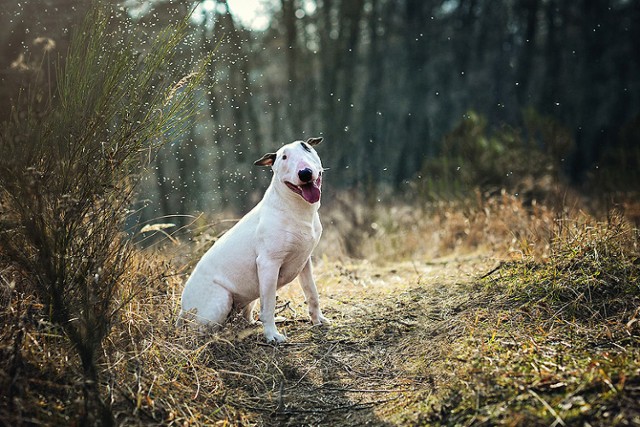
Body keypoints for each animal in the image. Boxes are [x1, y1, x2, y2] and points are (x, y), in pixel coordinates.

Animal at [180, 138, 330, 344]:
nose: (305, 173)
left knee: (246, 317)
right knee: (199, 332)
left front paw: (318, 320)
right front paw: (272, 335)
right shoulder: (268, 265)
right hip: (221, 300)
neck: (296, 209)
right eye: (284, 157)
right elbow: (269, 305)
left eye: (306, 148)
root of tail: (181, 311)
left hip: (248, 298)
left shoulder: (305, 261)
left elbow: (312, 293)